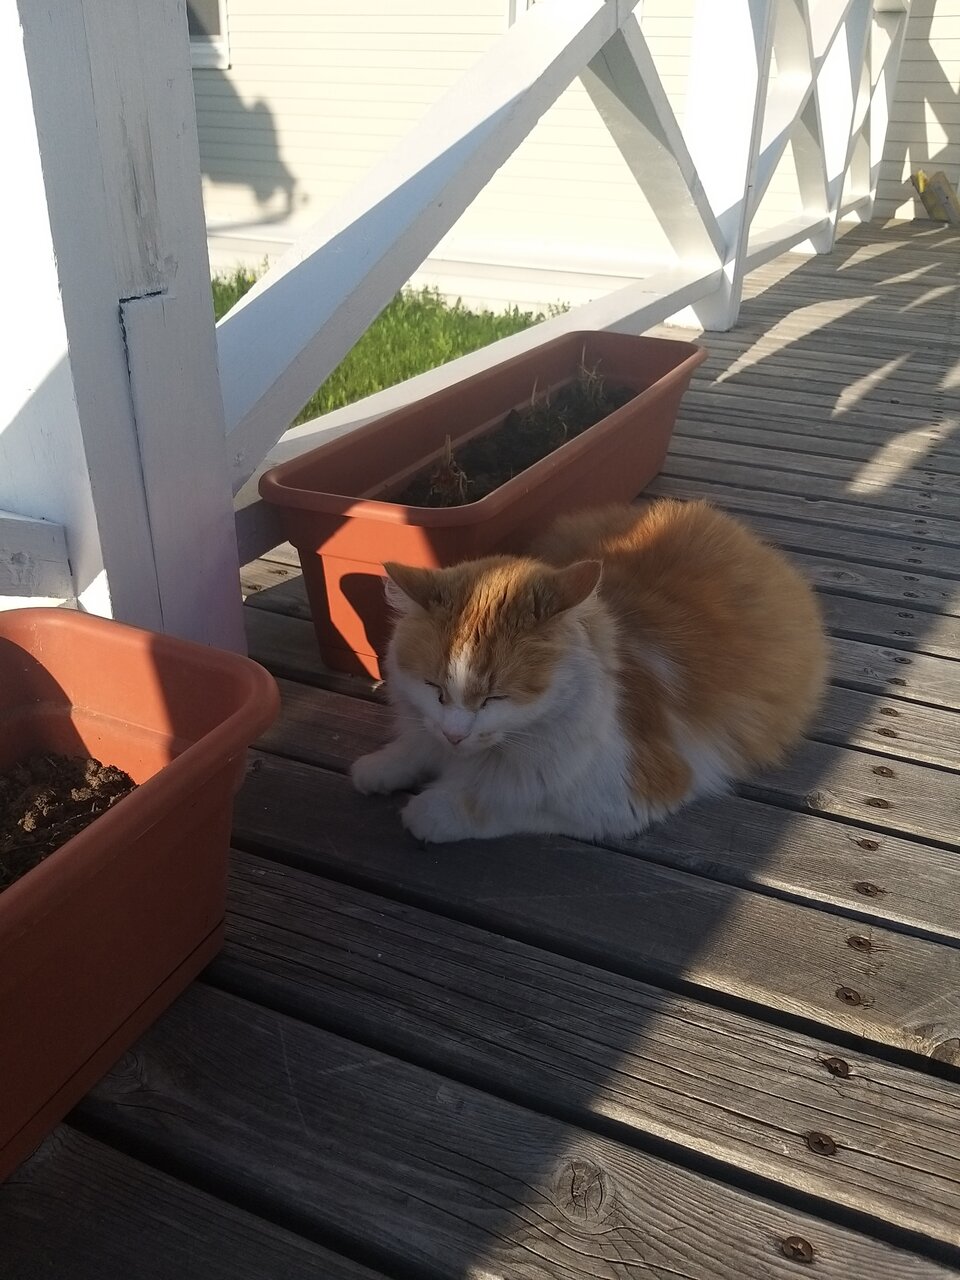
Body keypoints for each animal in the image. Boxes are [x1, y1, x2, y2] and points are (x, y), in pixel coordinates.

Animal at [350, 499, 828, 844]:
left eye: (495, 698)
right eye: (434, 688)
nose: (455, 735)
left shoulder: (621, 795)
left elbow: (494, 803)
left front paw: (427, 812)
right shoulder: (427, 727)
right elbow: (412, 748)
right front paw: (376, 768)